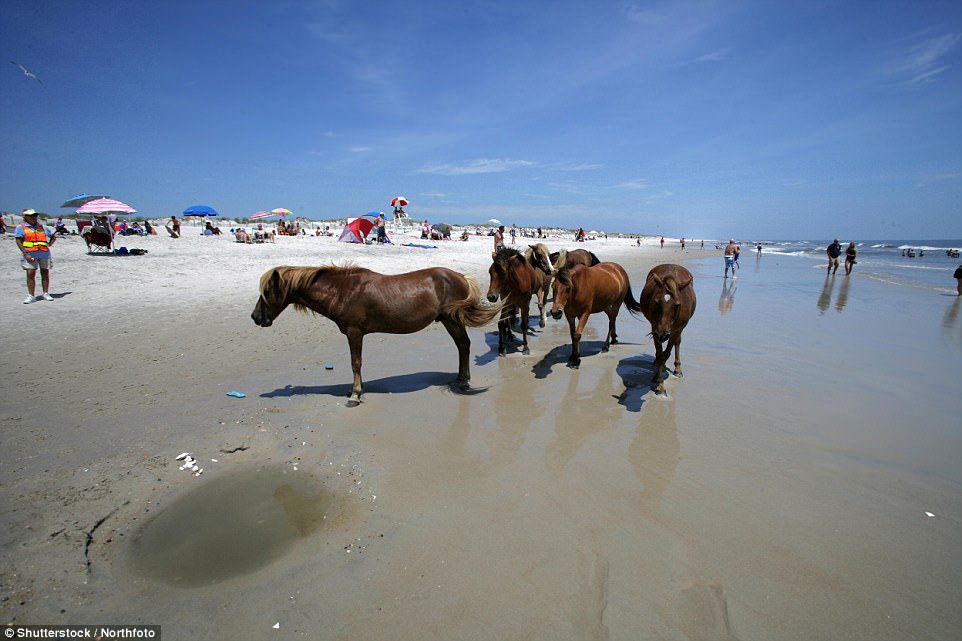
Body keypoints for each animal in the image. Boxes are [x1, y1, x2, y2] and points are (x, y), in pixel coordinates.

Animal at [248, 264, 502, 404]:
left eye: (267, 291)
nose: (255, 317)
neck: (343, 291)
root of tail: (460, 276)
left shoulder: (354, 332)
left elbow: (355, 363)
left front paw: (355, 394)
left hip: (452, 319)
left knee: (464, 344)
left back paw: (464, 380)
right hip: (449, 320)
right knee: (462, 345)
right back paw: (461, 378)